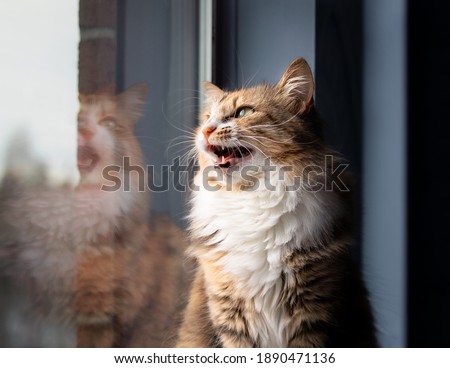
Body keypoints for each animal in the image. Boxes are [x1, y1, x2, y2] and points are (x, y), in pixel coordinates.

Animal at [176, 57, 376, 348]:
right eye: (206, 117)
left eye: (243, 112)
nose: (206, 129)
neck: (252, 197)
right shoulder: (231, 316)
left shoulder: (314, 312)